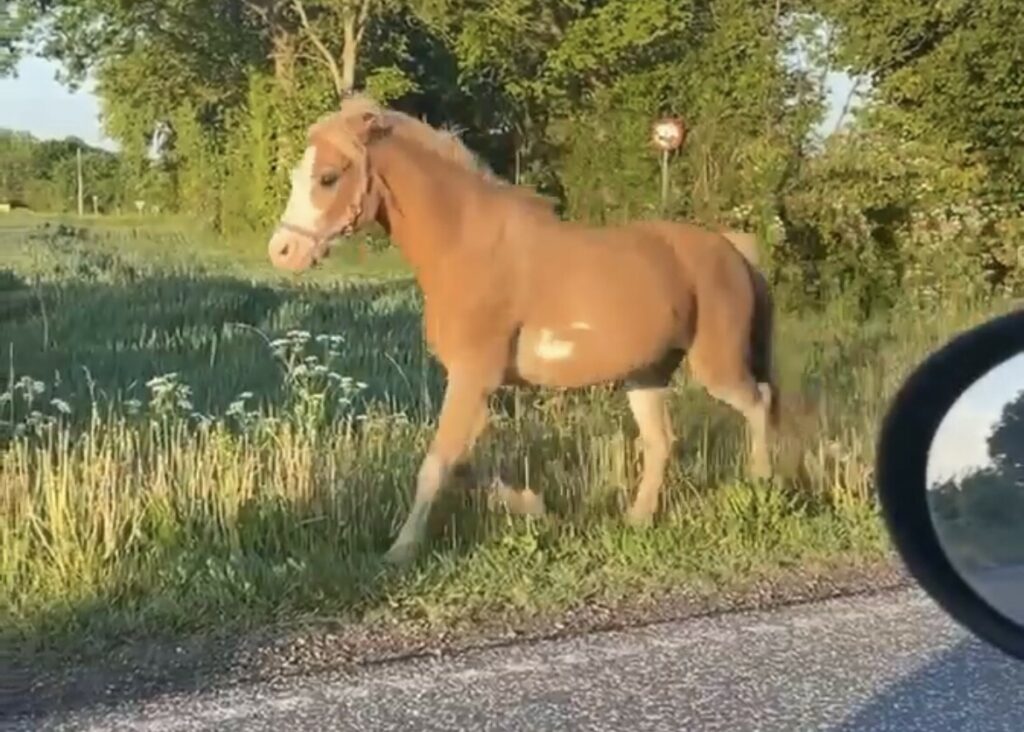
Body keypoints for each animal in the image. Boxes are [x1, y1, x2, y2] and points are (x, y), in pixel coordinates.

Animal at [266, 93, 781, 565]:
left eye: (328, 177)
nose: (283, 251)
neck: (464, 244)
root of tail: (734, 252)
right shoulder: (479, 383)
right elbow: (461, 462)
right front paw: (535, 506)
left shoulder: (473, 376)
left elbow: (436, 463)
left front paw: (401, 551)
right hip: (646, 375)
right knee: (661, 441)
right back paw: (637, 520)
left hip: (716, 364)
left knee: (759, 402)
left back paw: (761, 485)